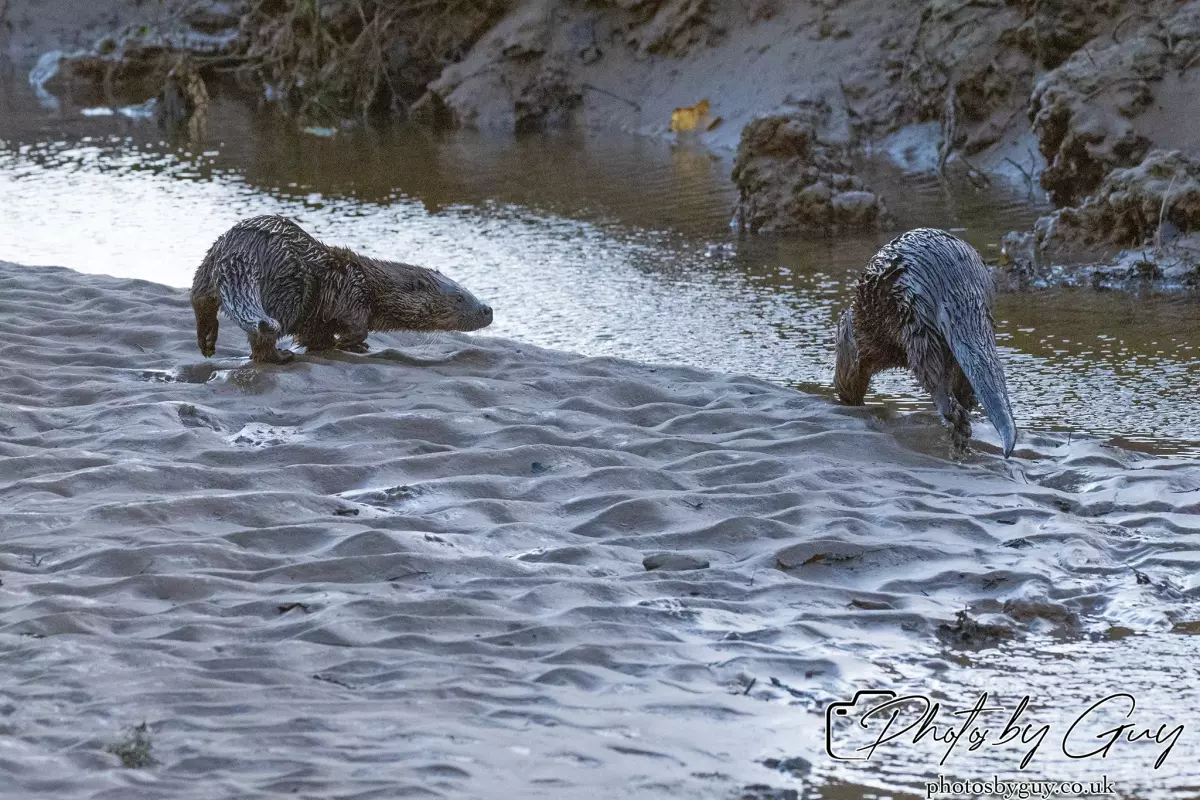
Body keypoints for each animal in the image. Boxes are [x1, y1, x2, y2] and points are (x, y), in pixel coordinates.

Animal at [191, 216, 493, 364]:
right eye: (459, 298)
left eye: (469, 290)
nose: (487, 309)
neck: (371, 284)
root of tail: (244, 250)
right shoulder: (351, 295)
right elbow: (355, 327)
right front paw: (350, 344)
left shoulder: (317, 317)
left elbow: (315, 335)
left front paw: (332, 345)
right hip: (287, 289)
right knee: (262, 336)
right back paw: (280, 357)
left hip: (207, 265)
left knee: (200, 301)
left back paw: (207, 341)